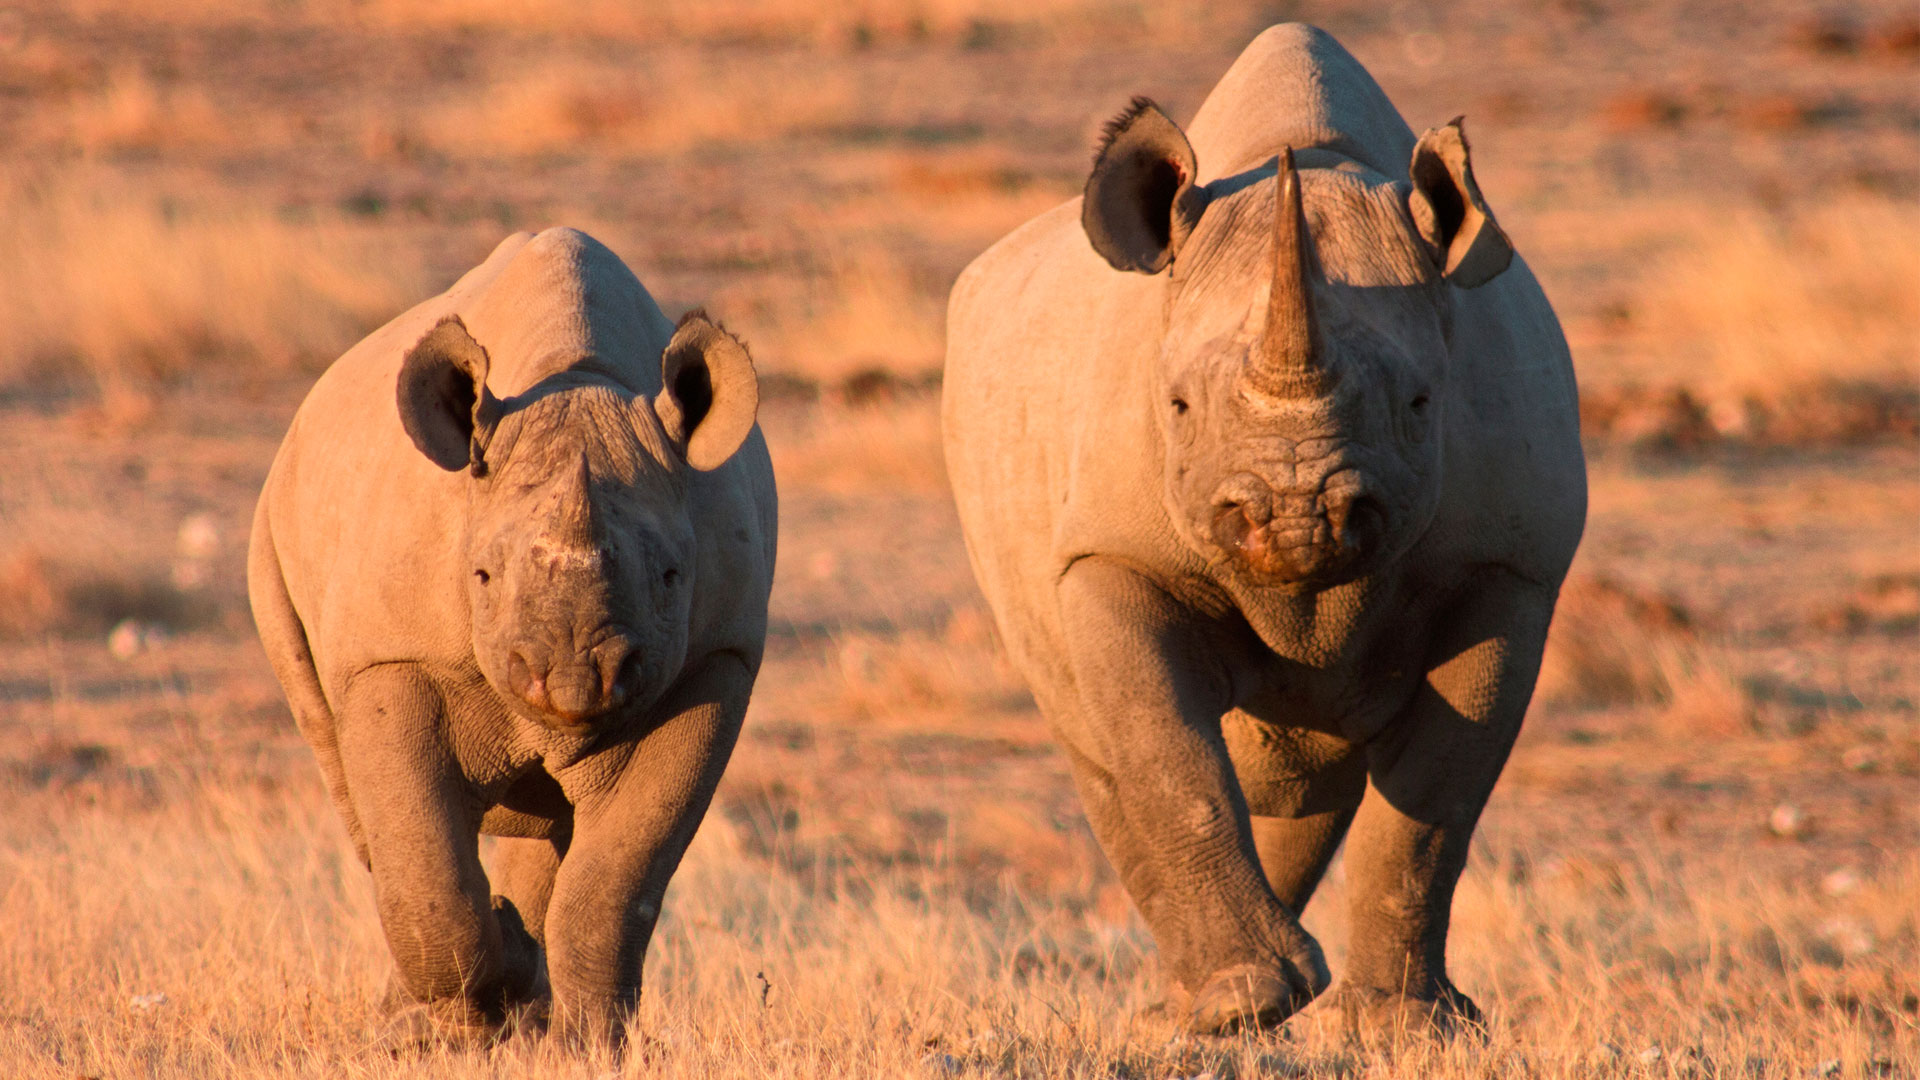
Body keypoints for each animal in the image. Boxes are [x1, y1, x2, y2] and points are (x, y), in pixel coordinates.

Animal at [248, 227, 775, 1047]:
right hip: (274, 534)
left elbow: (616, 882)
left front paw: (590, 1044)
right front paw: (468, 1020)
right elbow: (426, 871)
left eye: (670, 576)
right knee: (351, 783)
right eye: (483, 575)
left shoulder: (715, 662)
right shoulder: (392, 656)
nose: (574, 678)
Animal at [943, 25, 1585, 1036]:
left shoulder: (1509, 567)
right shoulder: (1110, 552)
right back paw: (1197, 1009)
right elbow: (1167, 756)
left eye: (1420, 404)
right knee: (1101, 746)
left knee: (1305, 773)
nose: (1294, 517)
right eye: (1175, 407)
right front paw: (1245, 1004)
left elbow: (1435, 801)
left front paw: (1404, 1027)